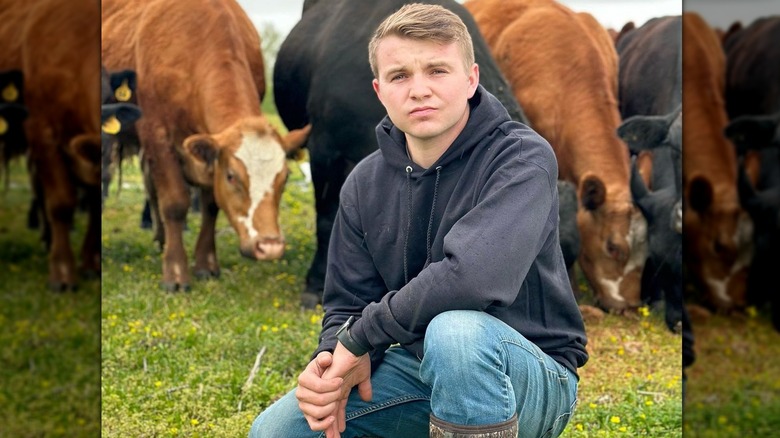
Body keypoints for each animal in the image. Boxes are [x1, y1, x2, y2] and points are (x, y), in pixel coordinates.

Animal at [102, 0, 310, 290]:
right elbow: (174, 204)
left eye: (285, 177)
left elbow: (211, 206)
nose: (269, 247)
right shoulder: (157, 137)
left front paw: (206, 264)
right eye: (232, 176)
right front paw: (176, 272)